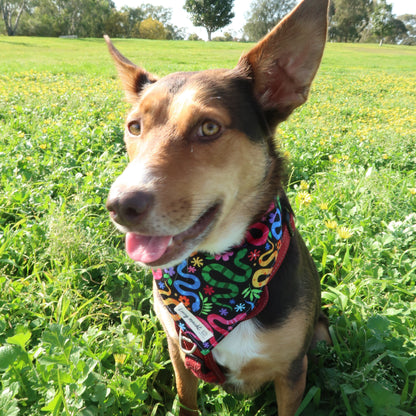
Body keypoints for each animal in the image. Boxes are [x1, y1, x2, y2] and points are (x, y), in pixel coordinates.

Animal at [106, 0, 332, 416]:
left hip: (321, 337)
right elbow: (186, 398)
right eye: (134, 127)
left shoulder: (293, 372)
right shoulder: (179, 350)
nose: (119, 206)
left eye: (209, 128)